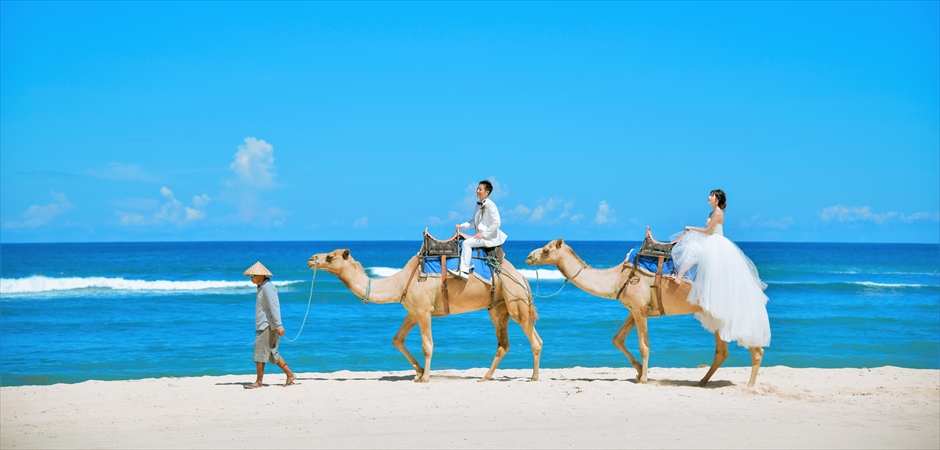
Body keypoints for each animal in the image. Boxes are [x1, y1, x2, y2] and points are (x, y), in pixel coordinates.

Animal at [308, 248, 544, 382]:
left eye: (330, 256)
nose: (311, 259)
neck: (400, 282)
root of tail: (522, 276)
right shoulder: (413, 311)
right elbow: (397, 340)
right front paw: (419, 372)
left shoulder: (424, 311)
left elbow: (427, 345)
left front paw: (426, 377)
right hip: (498, 307)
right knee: (503, 343)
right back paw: (485, 377)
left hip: (516, 300)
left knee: (535, 339)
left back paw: (533, 377)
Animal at [524, 239, 768, 386]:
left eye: (546, 250)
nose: (529, 256)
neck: (616, 277)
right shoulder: (635, 309)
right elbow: (617, 339)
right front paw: (638, 371)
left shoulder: (640, 309)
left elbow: (644, 346)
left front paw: (643, 378)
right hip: (716, 314)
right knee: (722, 351)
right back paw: (701, 382)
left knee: (754, 348)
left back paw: (749, 385)